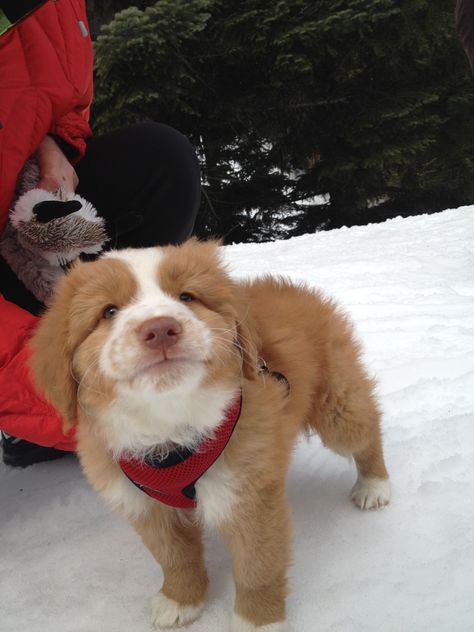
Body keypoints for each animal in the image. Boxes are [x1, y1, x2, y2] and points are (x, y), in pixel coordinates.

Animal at [30, 238, 392, 632]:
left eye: (187, 296)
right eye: (108, 311)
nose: (160, 329)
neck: (170, 427)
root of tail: (292, 287)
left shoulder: (249, 497)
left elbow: (257, 569)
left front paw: (256, 622)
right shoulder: (145, 504)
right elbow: (175, 558)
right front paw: (181, 600)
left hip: (337, 409)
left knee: (367, 427)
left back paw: (374, 485)